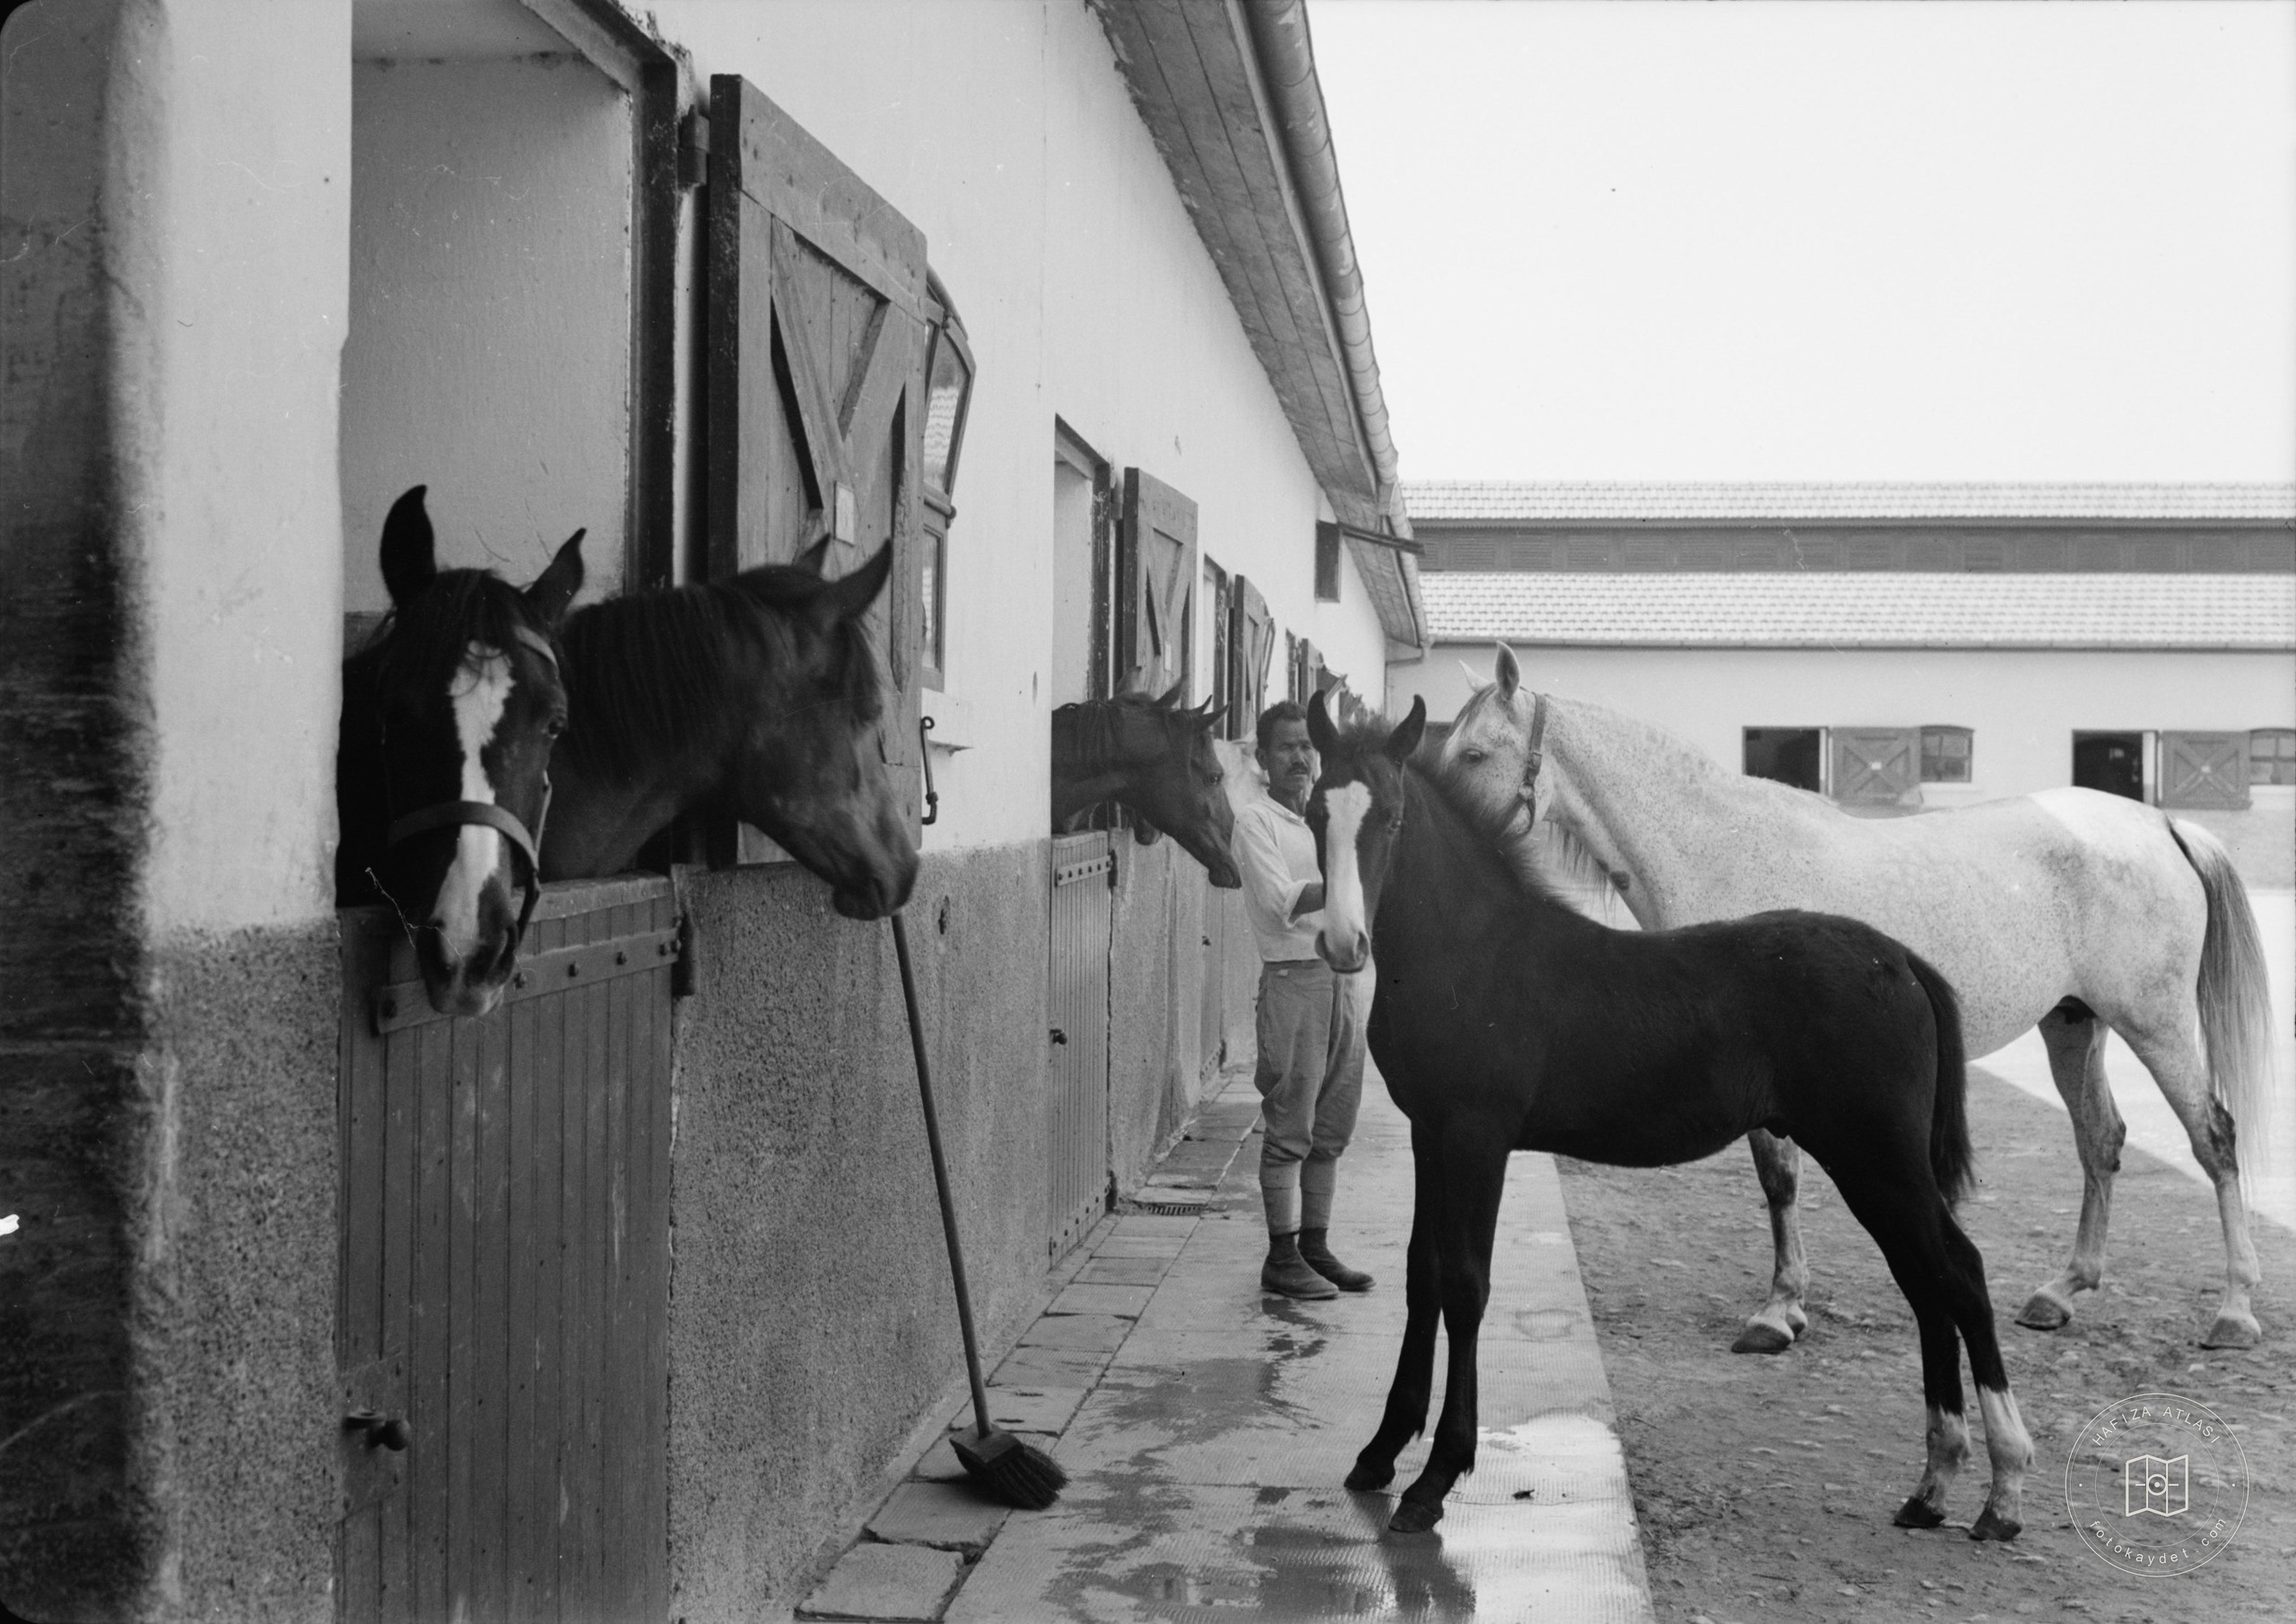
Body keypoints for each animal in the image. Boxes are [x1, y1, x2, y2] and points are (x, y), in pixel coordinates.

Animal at [1305, 691, 2033, 1540]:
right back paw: (1932, 1487)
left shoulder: (1479, 1136)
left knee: (1960, 1273)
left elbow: (1466, 1284)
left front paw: (1435, 1478)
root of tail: (1902, 959)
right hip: (1878, 1164)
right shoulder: (1431, 1132)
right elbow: (1422, 1276)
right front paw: (1381, 1449)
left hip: (1878, 1157)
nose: (1343, 943)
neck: (1473, 957)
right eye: (1317, 809)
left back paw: (2002, 1492)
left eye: (1389, 816)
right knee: (1927, 1282)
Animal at [1437, 645, 2274, 1351]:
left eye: (1475, 754)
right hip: (2073, 1023)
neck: (1724, 848)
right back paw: (2060, 1292)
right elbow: (1778, 1182)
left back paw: (2235, 1308)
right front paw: (1787, 1304)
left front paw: (1778, 1311)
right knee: (2100, 1139)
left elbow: (1780, 1179)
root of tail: (2161, 823)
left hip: (2155, 1024)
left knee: (2214, 1138)